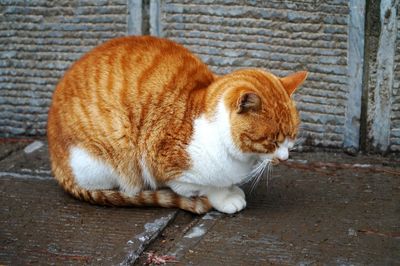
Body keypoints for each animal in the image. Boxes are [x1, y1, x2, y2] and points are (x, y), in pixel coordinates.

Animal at [47, 35, 310, 214]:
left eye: (292, 137)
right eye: (273, 141)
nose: (285, 158)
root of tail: (57, 166)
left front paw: (231, 189)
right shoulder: (167, 167)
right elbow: (205, 188)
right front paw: (224, 197)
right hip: (108, 156)